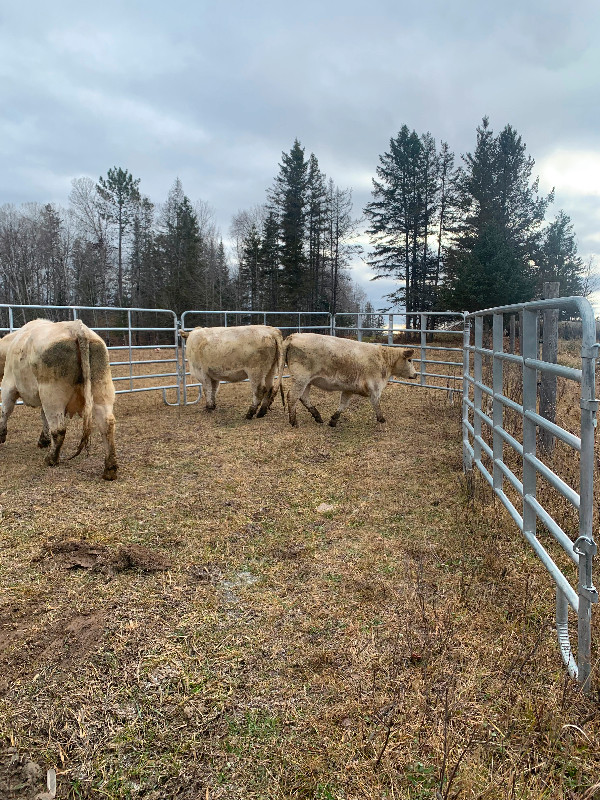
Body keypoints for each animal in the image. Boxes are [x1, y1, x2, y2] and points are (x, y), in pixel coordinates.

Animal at [0, 320, 118, 482]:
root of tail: (77, 328)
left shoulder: (8, 386)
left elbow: (5, 411)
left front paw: (1, 435)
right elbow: (43, 417)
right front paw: (44, 440)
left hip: (52, 393)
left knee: (59, 429)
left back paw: (51, 459)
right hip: (102, 388)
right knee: (107, 424)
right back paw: (110, 469)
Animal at [282, 332, 414, 428]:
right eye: (410, 360)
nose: (415, 374)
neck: (383, 358)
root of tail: (293, 336)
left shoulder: (349, 389)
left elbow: (343, 404)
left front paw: (333, 420)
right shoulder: (375, 387)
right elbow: (376, 404)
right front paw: (382, 419)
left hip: (307, 382)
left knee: (304, 397)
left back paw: (317, 416)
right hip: (301, 379)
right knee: (292, 396)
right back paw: (294, 422)